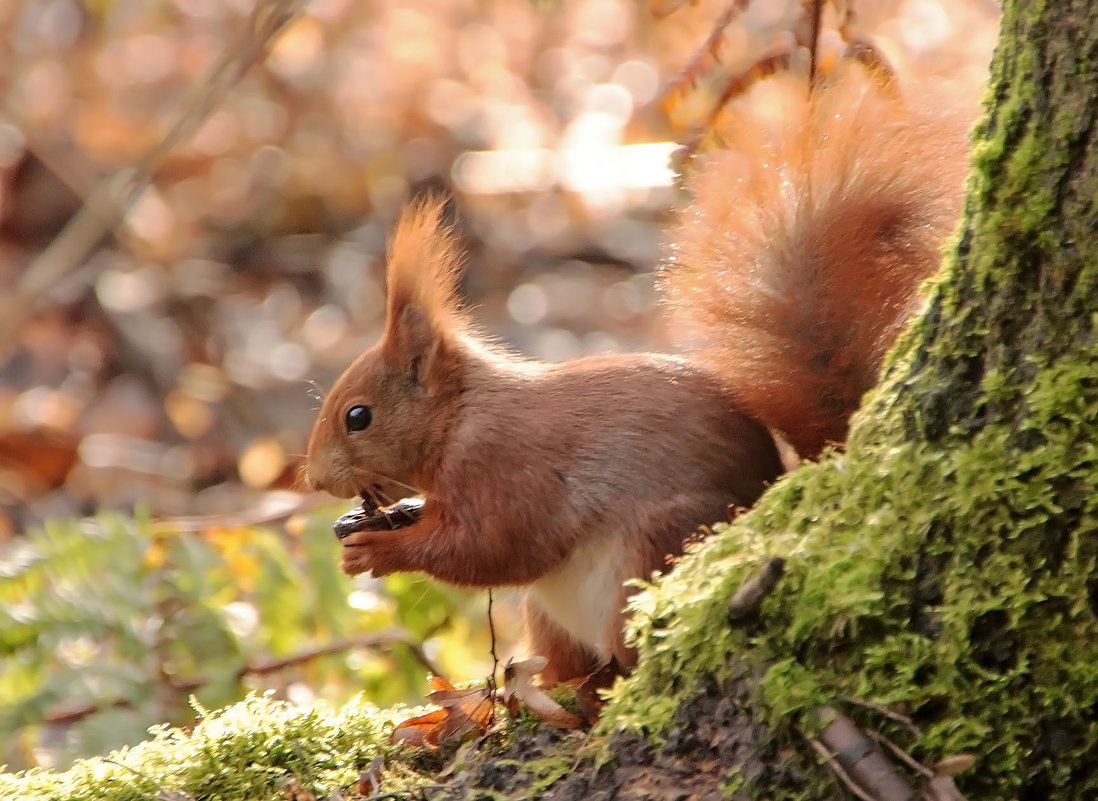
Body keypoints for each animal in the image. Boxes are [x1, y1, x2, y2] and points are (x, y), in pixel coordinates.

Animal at [305, 70, 966, 680]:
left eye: (358, 416)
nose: (313, 479)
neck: (462, 414)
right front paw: (384, 517)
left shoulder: (506, 468)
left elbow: (495, 549)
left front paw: (380, 548)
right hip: (552, 617)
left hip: (650, 555)